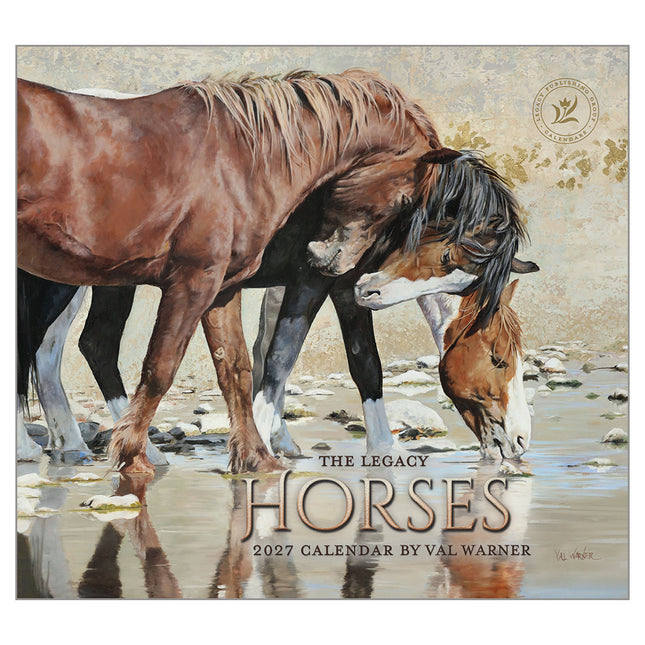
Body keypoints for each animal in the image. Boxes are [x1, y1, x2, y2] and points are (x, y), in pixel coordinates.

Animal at [18, 69, 453, 474]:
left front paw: (257, 456)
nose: (331, 258)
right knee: (52, 350)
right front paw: (132, 454)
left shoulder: (224, 288)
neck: (241, 159)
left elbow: (240, 368)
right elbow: (166, 367)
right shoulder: (198, 282)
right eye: (405, 200)